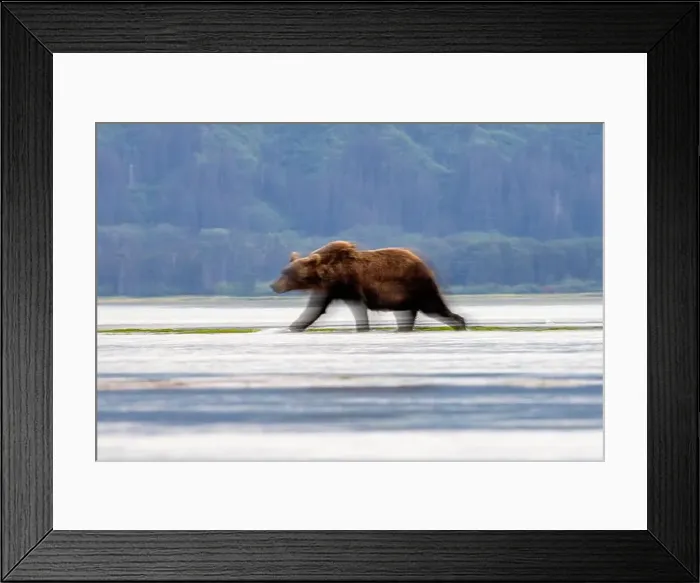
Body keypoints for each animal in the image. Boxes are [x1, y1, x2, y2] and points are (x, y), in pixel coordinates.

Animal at [269, 240, 467, 332]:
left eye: (286, 273)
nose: (273, 285)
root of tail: (424, 263)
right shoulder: (328, 290)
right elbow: (313, 310)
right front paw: (292, 327)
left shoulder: (349, 286)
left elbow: (358, 308)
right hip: (402, 297)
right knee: (407, 314)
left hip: (417, 285)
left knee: (434, 306)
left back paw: (460, 323)